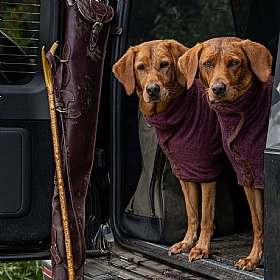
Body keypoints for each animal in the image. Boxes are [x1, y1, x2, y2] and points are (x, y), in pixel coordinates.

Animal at [112, 40, 226, 262]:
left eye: (164, 64)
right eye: (140, 67)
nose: (152, 89)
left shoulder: (206, 172)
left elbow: (206, 217)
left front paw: (202, 248)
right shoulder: (185, 173)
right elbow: (192, 214)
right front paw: (187, 242)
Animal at [179, 37, 274, 272]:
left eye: (234, 63)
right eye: (207, 64)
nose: (218, 88)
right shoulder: (248, 176)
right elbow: (258, 223)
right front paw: (254, 258)